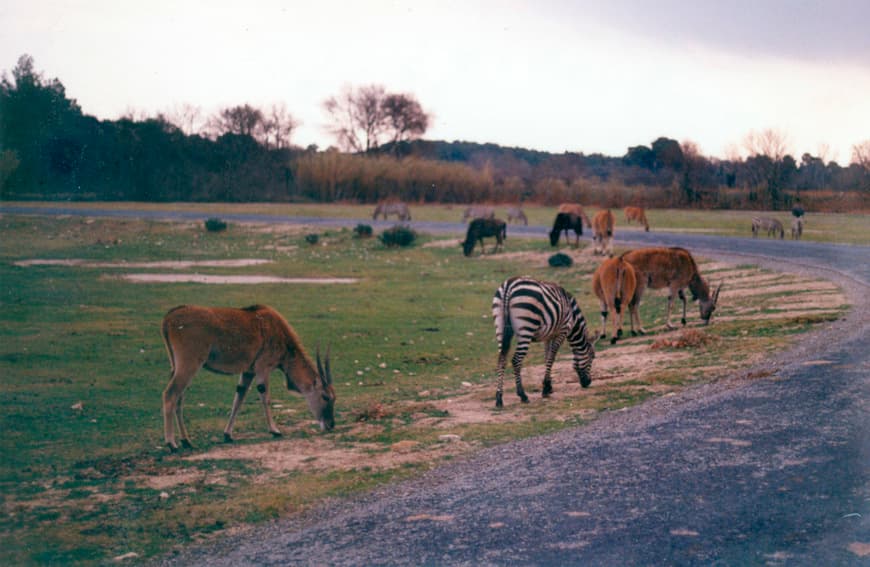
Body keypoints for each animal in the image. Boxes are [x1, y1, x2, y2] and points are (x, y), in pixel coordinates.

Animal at [160, 306, 338, 452]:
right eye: (325, 397)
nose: (331, 425)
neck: (277, 330)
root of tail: (169, 318)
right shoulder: (262, 368)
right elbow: (265, 397)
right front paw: (275, 430)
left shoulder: (248, 372)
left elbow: (239, 399)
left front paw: (228, 434)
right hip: (188, 366)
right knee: (170, 395)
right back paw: (172, 444)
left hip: (176, 367)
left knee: (179, 399)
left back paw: (186, 441)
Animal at [494, 276, 596, 406]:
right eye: (592, 357)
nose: (588, 383)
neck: (573, 318)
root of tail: (509, 285)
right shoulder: (562, 331)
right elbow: (552, 357)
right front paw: (546, 388)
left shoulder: (548, 336)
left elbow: (547, 357)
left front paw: (548, 386)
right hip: (526, 328)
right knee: (516, 360)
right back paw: (523, 395)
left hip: (500, 327)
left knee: (501, 359)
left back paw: (499, 398)